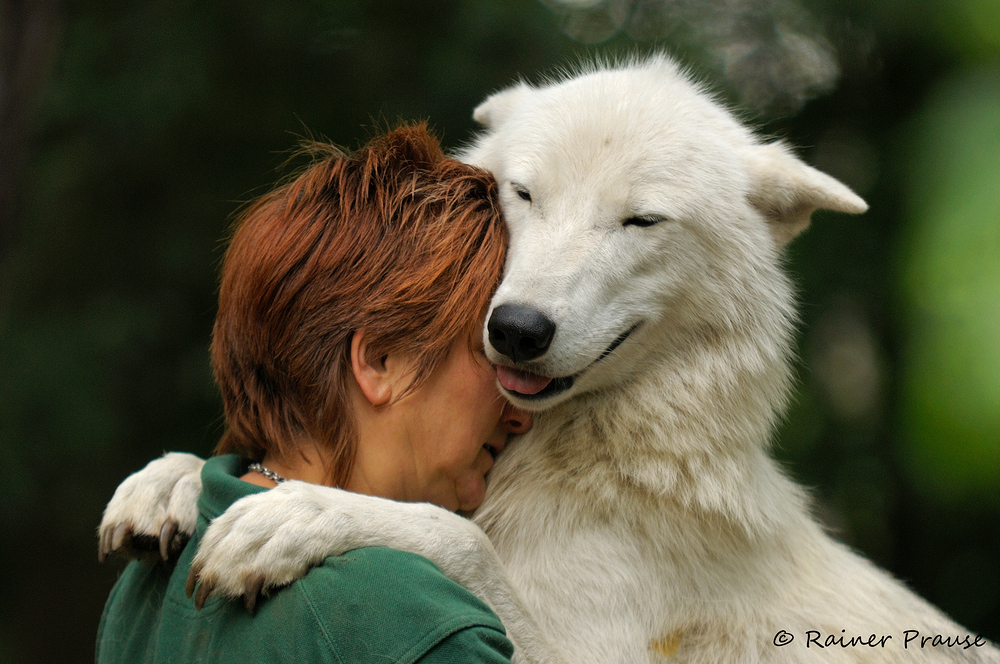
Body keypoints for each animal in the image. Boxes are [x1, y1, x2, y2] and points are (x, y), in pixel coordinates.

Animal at [103, 58, 1000, 664]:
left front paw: (301, 513)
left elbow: (456, 538)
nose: (517, 330)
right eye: (526, 194)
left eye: (640, 221)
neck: (577, 460)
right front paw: (167, 483)